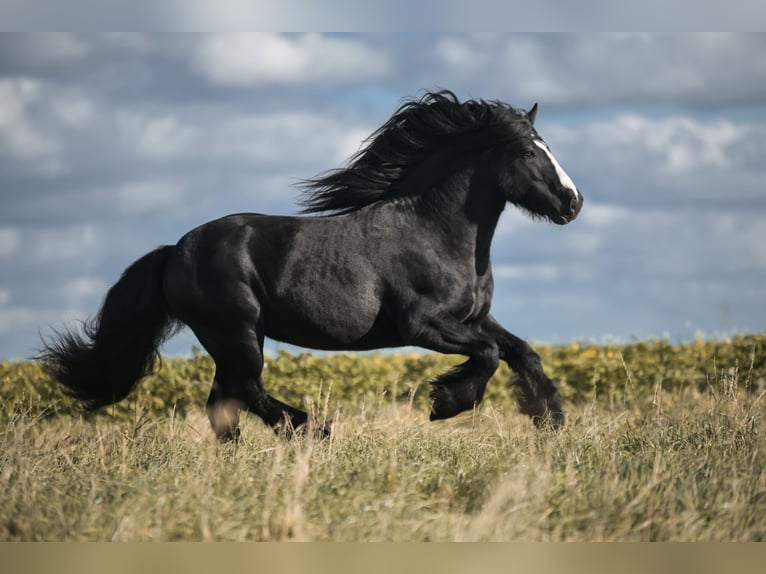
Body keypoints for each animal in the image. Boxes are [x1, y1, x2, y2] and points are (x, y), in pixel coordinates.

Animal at [39, 91, 584, 440]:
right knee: (246, 391)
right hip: (236, 331)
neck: (434, 230)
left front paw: (550, 420)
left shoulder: (474, 318)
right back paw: (313, 430)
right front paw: (444, 405)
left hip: (232, 339)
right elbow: (489, 355)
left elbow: (521, 352)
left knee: (225, 404)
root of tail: (175, 251)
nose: (573, 203)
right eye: (528, 151)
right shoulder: (424, 325)